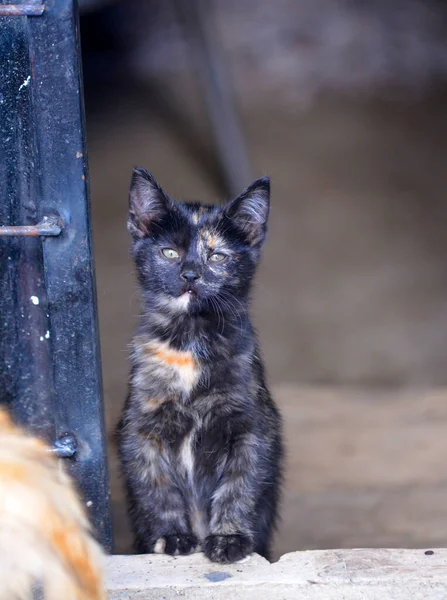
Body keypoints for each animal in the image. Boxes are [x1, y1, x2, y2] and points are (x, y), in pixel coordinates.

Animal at [118, 168, 284, 564]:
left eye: (218, 256)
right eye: (169, 252)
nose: (191, 274)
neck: (189, 342)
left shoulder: (252, 428)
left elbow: (239, 487)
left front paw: (229, 539)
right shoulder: (140, 430)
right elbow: (157, 489)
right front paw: (173, 536)